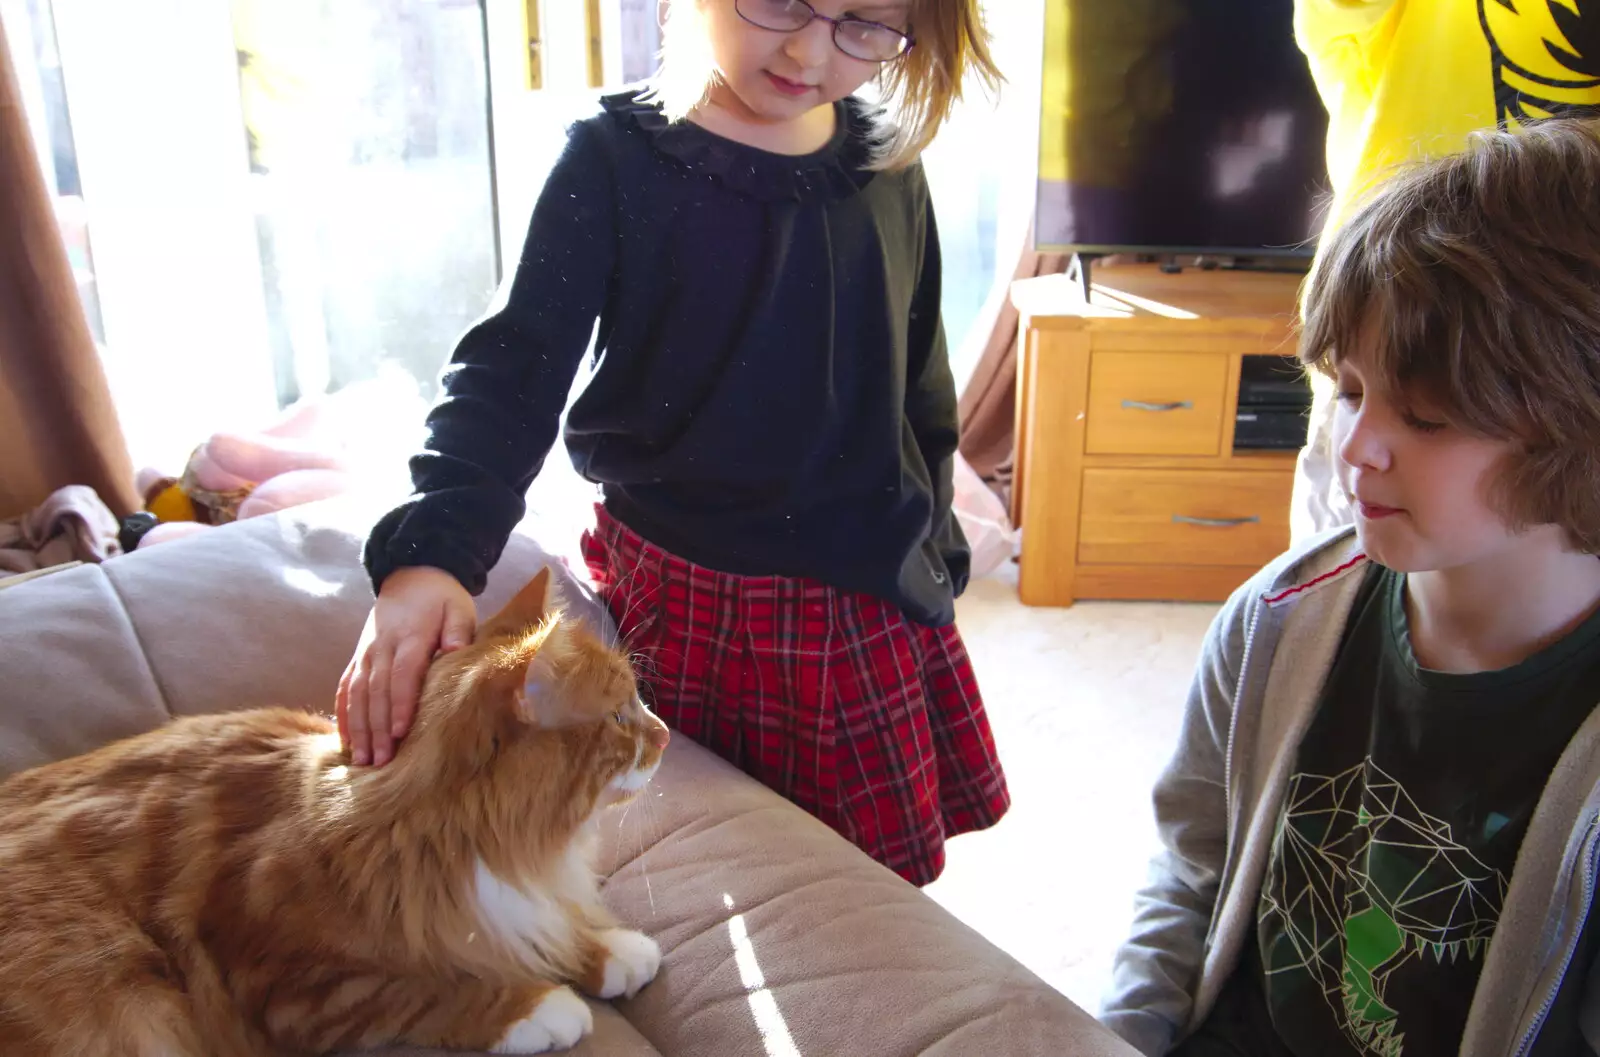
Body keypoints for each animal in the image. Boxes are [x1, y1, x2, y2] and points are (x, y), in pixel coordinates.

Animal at [0, 566, 668, 1049]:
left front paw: (610, 950)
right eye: (619, 716)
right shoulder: (291, 983)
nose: (663, 736)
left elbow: (547, 924)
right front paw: (538, 1007)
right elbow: (427, 990)